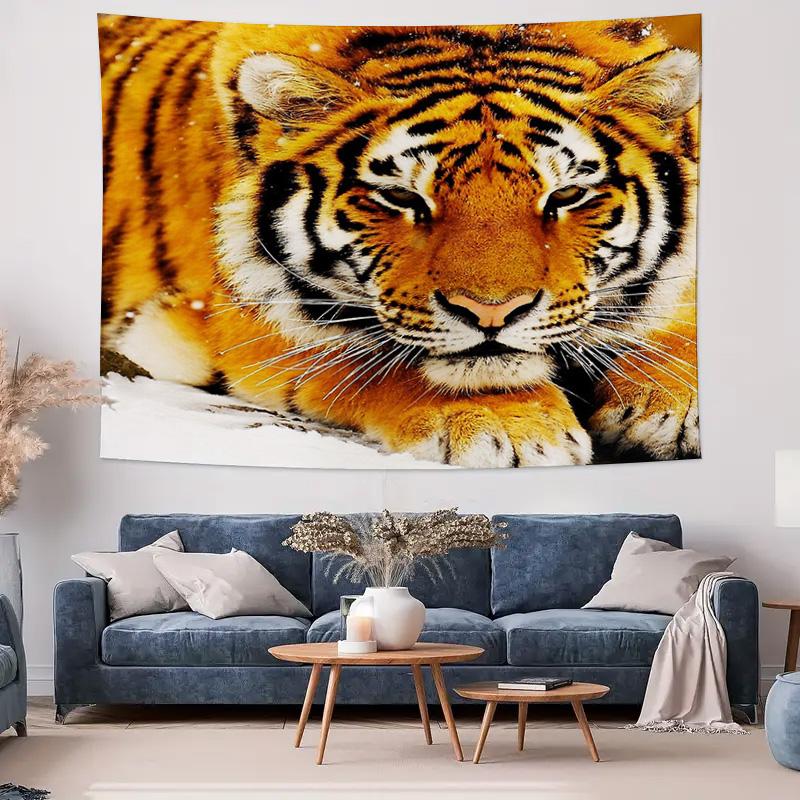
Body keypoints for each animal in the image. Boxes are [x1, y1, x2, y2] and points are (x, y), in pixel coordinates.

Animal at [99, 15, 700, 468]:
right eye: (401, 198)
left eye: (567, 195)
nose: (493, 313)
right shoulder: (239, 319)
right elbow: (373, 359)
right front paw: (508, 425)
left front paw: (680, 398)